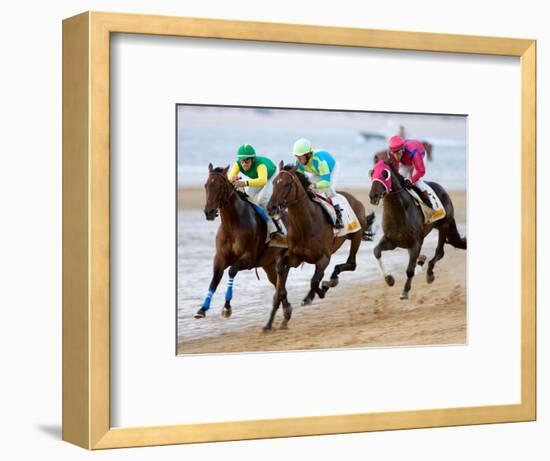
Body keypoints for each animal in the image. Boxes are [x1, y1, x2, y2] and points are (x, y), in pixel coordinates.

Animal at [266, 162, 378, 330]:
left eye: (286, 184)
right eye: (273, 183)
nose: (271, 207)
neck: (305, 224)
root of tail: (355, 199)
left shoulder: (324, 258)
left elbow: (314, 281)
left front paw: (315, 294)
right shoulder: (295, 257)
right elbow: (281, 267)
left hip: (356, 235)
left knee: (351, 263)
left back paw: (330, 280)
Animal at [368, 160, 468, 300]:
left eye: (384, 173)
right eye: (372, 173)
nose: (373, 195)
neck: (399, 212)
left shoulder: (416, 243)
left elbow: (409, 270)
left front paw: (405, 291)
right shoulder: (391, 241)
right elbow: (376, 251)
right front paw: (389, 279)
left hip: (444, 225)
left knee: (440, 252)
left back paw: (429, 273)